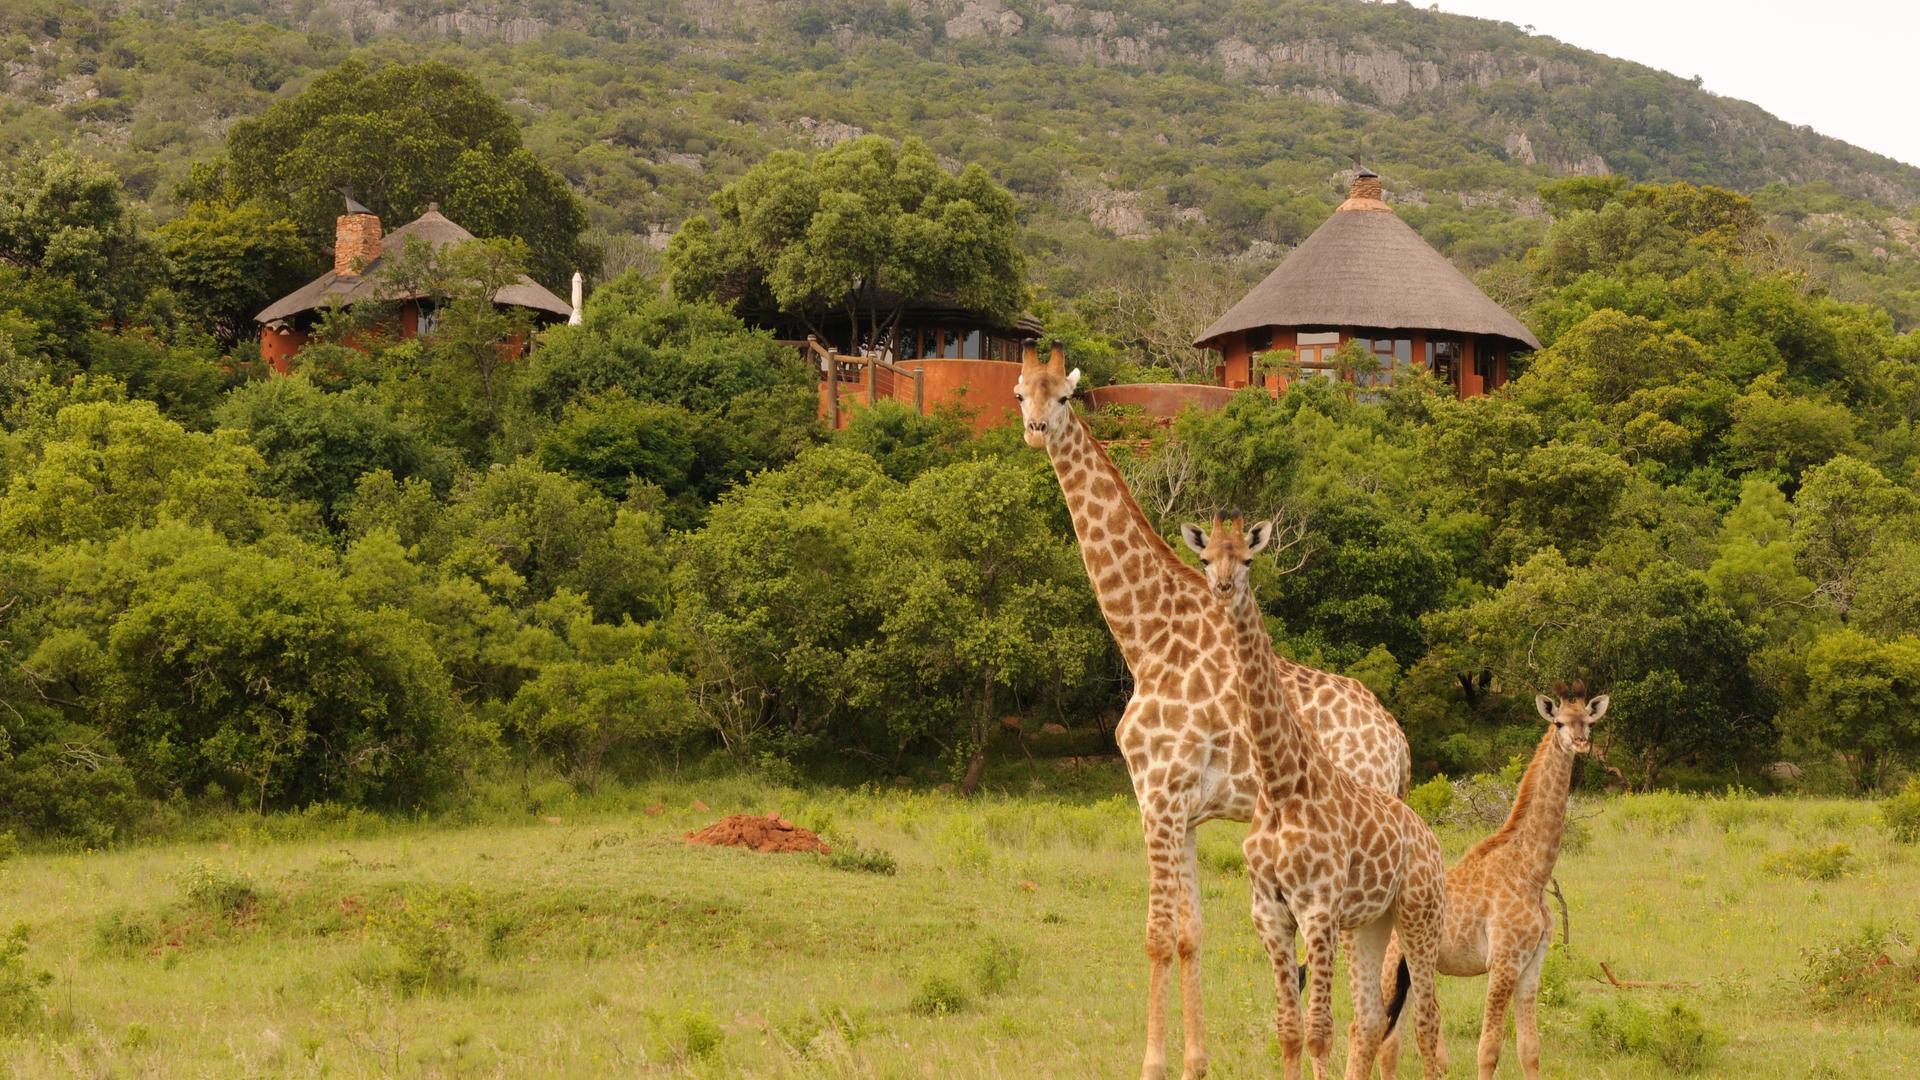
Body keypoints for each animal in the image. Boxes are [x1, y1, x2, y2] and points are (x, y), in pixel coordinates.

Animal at [1013, 346, 1410, 1080]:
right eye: (1022, 392)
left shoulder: (1157, 797)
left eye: (1064, 398)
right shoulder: (1188, 812)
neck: (1146, 637)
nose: (1034, 430)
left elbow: (1155, 934)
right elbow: (1191, 934)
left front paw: (1152, 1063)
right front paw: (1195, 1061)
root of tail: (1396, 741)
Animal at [1181, 515, 1447, 1080]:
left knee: (1427, 1022)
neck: (1281, 785)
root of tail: (1428, 835)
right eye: (1206, 559)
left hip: (1420, 914)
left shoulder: (1319, 909)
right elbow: (1290, 1030)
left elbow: (1319, 1030)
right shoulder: (1270, 914)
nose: (1223, 589)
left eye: (1248, 560)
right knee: (1372, 1018)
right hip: (1372, 924)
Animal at [1376, 682, 1608, 1080]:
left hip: (1406, 970)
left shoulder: (1533, 963)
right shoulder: (1503, 959)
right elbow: (1488, 1048)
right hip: (1394, 963)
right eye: (1559, 723)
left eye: (1588, 722)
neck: (1531, 872)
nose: (1580, 742)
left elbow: (1530, 1048)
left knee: (1388, 1044)